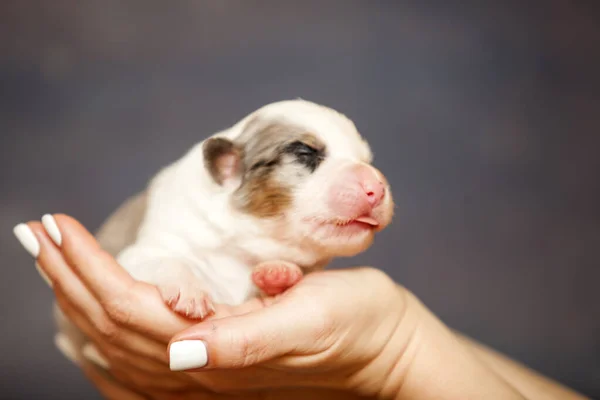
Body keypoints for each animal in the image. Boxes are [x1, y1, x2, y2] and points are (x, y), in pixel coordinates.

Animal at [111, 98, 394, 318]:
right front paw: (189, 291)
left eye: (365, 160)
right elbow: (167, 260)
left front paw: (277, 273)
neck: (243, 249)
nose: (377, 188)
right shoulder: (143, 250)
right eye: (304, 154)